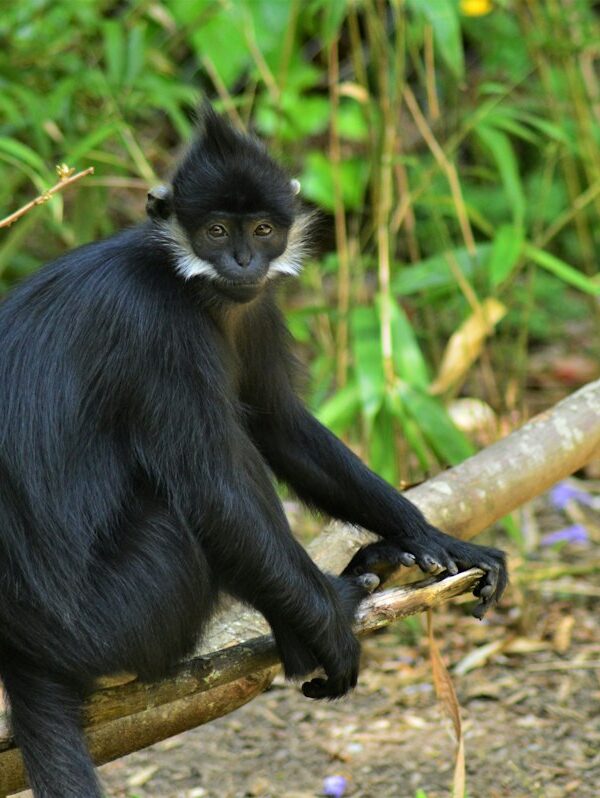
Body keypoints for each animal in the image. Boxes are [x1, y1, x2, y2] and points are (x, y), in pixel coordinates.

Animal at [0, 104, 507, 797]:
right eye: (215, 231)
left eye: (262, 230)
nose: (242, 260)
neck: (190, 284)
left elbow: (280, 426)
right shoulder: (157, 329)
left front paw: (435, 538)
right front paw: (331, 627)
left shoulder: (254, 304)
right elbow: (216, 493)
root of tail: (22, 649)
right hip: (117, 616)